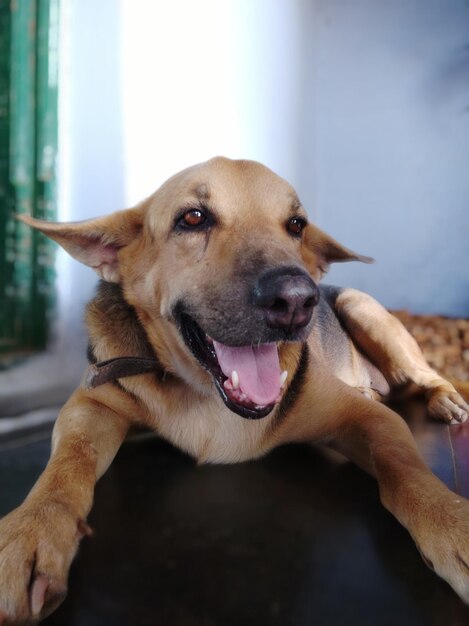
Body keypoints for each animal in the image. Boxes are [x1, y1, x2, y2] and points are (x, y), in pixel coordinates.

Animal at [0, 156, 468, 620]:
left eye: (296, 225)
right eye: (192, 218)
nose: (297, 300)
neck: (208, 395)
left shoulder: (371, 420)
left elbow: (407, 471)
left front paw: (451, 520)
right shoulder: (92, 403)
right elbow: (67, 465)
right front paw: (32, 530)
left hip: (363, 310)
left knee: (425, 377)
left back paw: (446, 400)